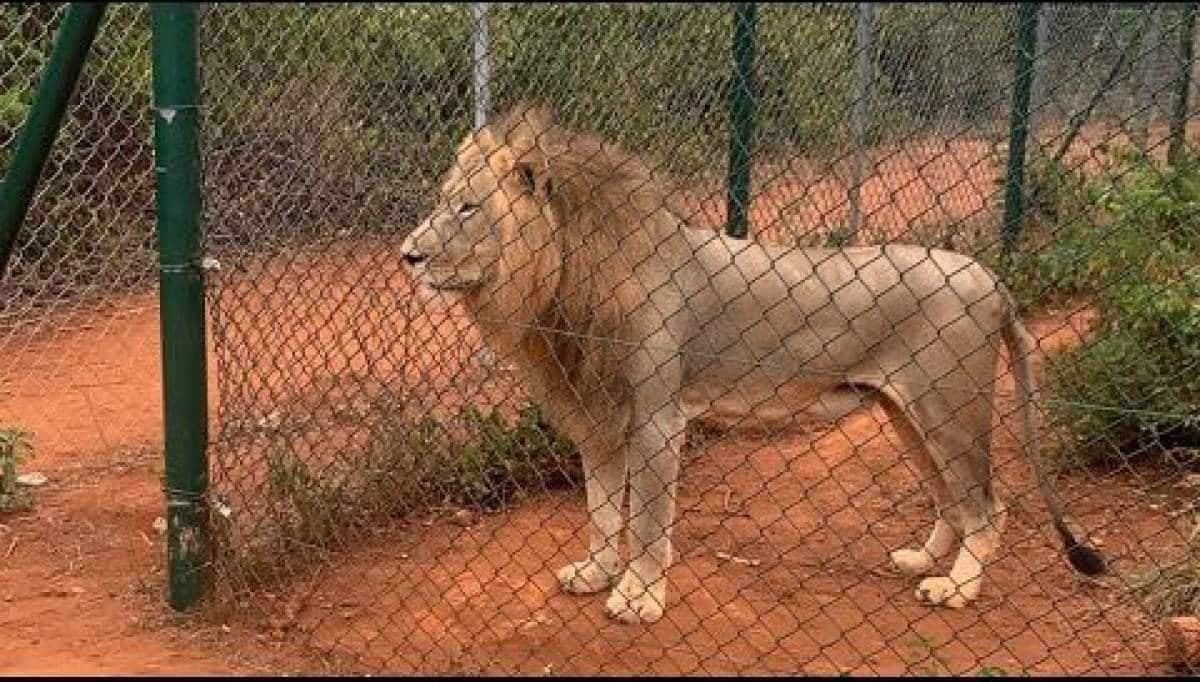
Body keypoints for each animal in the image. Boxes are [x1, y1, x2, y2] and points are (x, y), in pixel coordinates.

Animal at [399, 104, 1105, 624]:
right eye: (444, 200)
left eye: (467, 208)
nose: (408, 255)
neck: (564, 279)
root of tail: (991, 276)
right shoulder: (598, 417)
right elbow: (602, 509)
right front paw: (595, 573)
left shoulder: (657, 421)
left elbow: (647, 520)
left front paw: (637, 600)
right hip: (905, 412)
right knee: (951, 499)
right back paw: (920, 561)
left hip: (948, 408)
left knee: (987, 505)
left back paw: (955, 590)